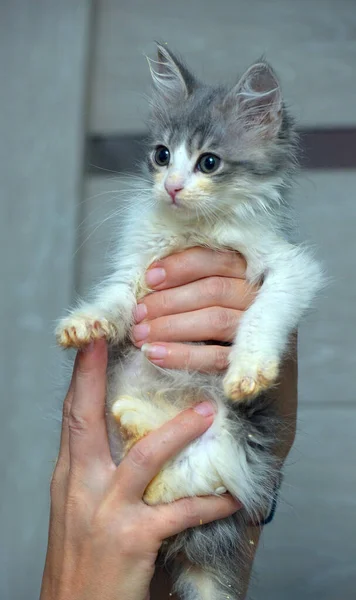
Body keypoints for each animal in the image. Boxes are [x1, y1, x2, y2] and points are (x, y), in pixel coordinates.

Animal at [55, 43, 322, 600]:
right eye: (162, 155)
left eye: (209, 162)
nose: (173, 187)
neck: (195, 227)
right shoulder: (137, 265)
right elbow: (116, 297)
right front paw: (86, 321)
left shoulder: (291, 265)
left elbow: (265, 310)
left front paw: (248, 369)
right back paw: (135, 420)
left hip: (232, 436)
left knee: (202, 479)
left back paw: (146, 432)